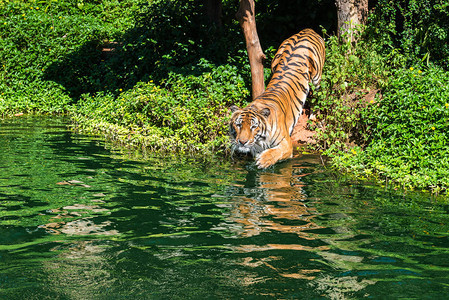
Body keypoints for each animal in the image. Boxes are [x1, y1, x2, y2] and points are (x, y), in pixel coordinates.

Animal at [229, 28, 324, 169]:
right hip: (275, 61)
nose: (242, 142)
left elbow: (277, 152)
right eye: (239, 125)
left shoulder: (286, 143)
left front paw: (264, 160)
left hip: (316, 78)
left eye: (253, 127)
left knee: (317, 97)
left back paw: (313, 117)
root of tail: (307, 30)